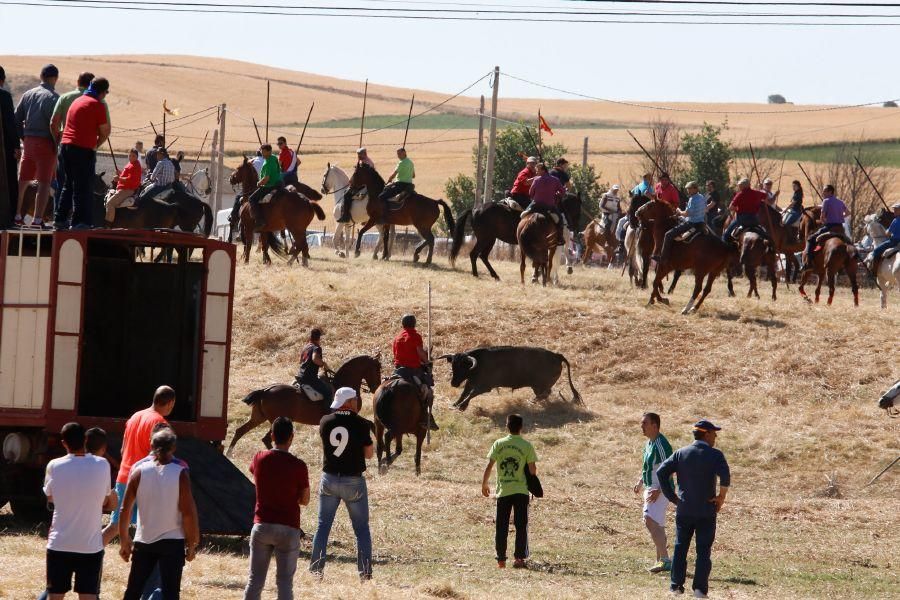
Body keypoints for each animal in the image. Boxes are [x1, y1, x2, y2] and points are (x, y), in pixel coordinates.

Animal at [225, 354, 384, 458]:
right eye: (377, 368)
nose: (375, 387)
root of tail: (265, 390)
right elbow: (370, 424)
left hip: (259, 417)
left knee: (240, 431)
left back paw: (229, 453)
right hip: (277, 419)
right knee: (266, 438)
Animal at [436, 344, 584, 410]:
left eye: (463, 367)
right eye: (453, 366)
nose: (454, 383)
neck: (479, 363)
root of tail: (557, 355)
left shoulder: (485, 386)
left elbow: (471, 394)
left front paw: (462, 406)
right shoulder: (471, 382)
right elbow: (465, 392)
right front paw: (456, 404)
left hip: (540, 384)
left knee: (546, 393)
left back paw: (533, 401)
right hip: (537, 386)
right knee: (545, 394)